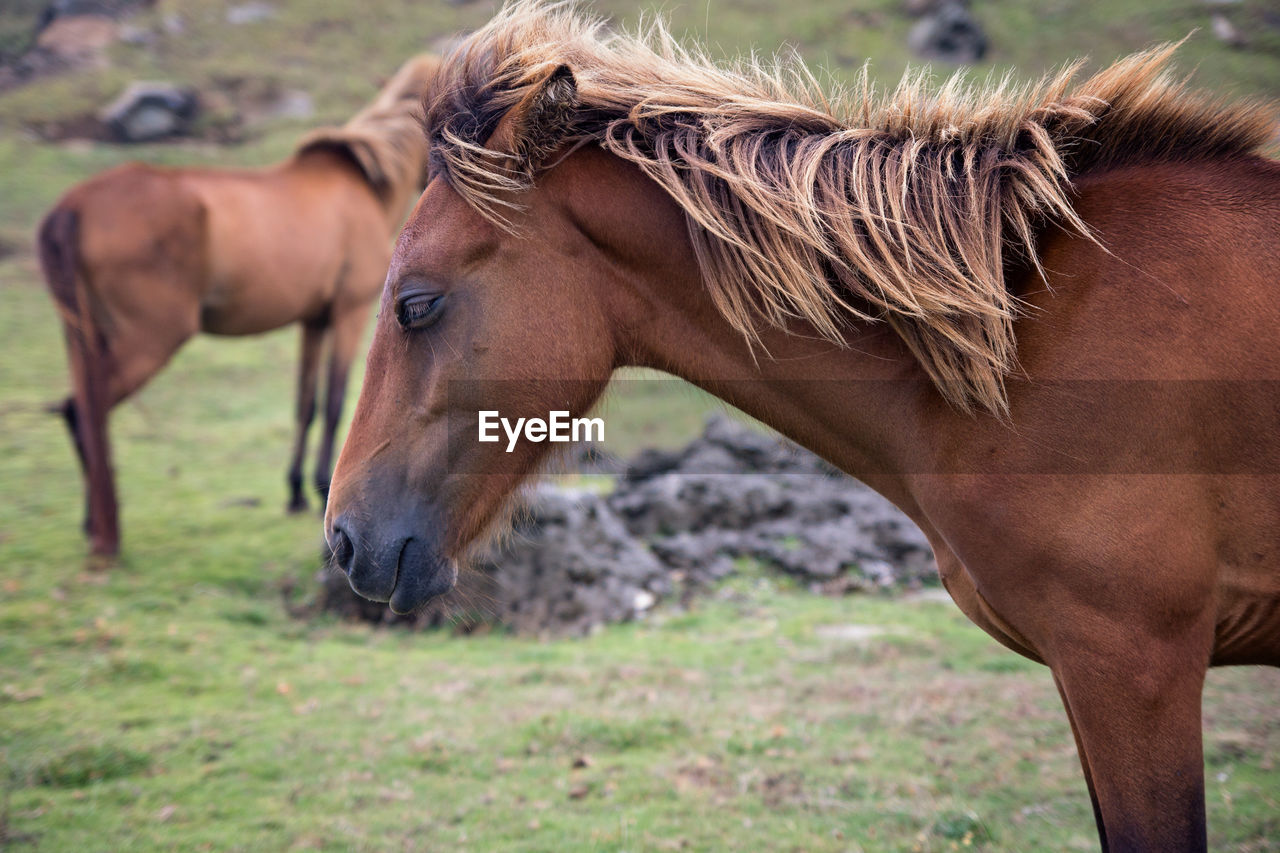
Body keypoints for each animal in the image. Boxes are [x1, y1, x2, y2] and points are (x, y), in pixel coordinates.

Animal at [40, 54, 440, 558]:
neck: (362, 183)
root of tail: (73, 207)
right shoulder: (348, 314)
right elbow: (333, 405)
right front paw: (320, 490)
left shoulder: (313, 321)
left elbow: (305, 405)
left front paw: (296, 491)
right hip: (147, 341)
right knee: (85, 413)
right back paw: (102, 531)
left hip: (82, 337)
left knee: (79, 412)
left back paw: (92, 524)